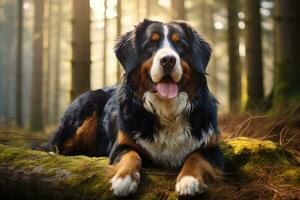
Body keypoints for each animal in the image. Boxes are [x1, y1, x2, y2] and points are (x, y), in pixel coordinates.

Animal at [44, 19, 224, 196]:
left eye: (180, 45)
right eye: (151, 44)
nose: (168, 60)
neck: (167, 111)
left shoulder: (212, 147)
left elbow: (196, 157)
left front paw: (189, 180)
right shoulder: (121, 144)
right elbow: (131, 155)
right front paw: (124, 179)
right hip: (84, 111)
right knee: (56, 145)